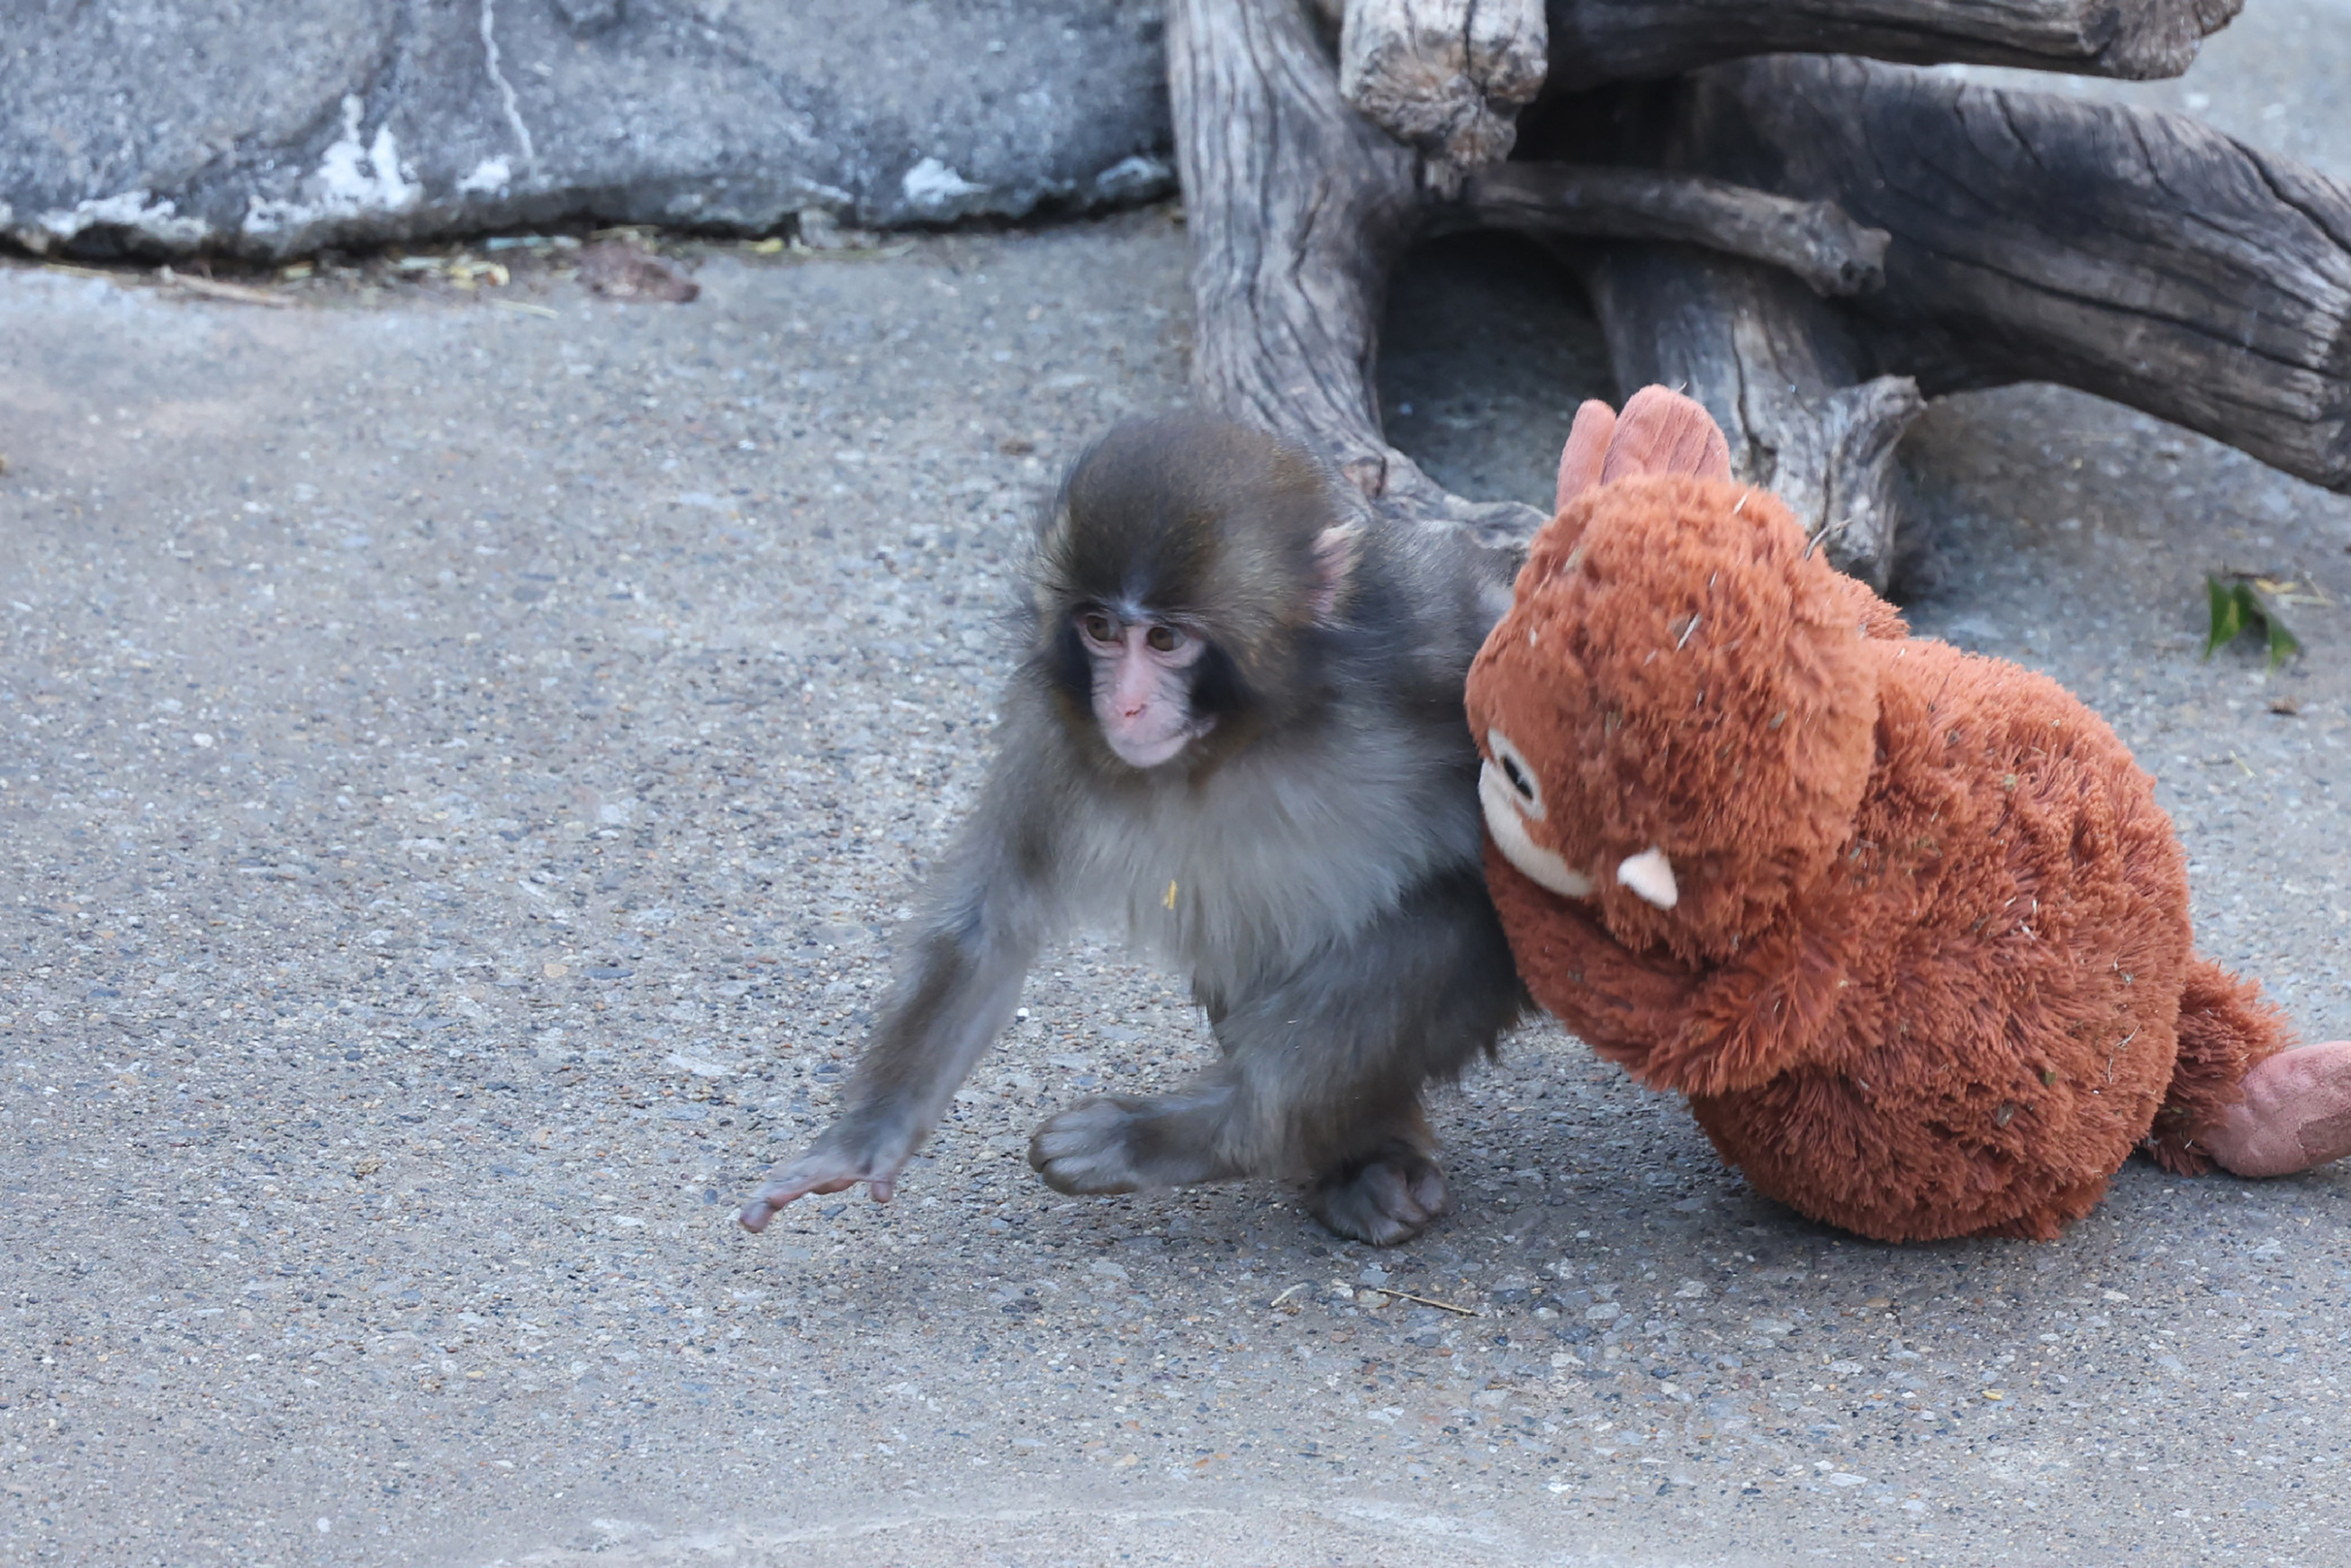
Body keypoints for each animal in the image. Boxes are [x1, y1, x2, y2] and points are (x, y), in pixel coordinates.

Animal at [738, 414, 1526, 1245]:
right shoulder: (1055, 726)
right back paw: (1361, 1158)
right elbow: (990, 923)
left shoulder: (1434, 637)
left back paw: (1204, 1131)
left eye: (1167, 641)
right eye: (1101, 630)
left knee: (1447, 921)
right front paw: (864, 1139)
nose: (1125, 706)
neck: (1250, 733)